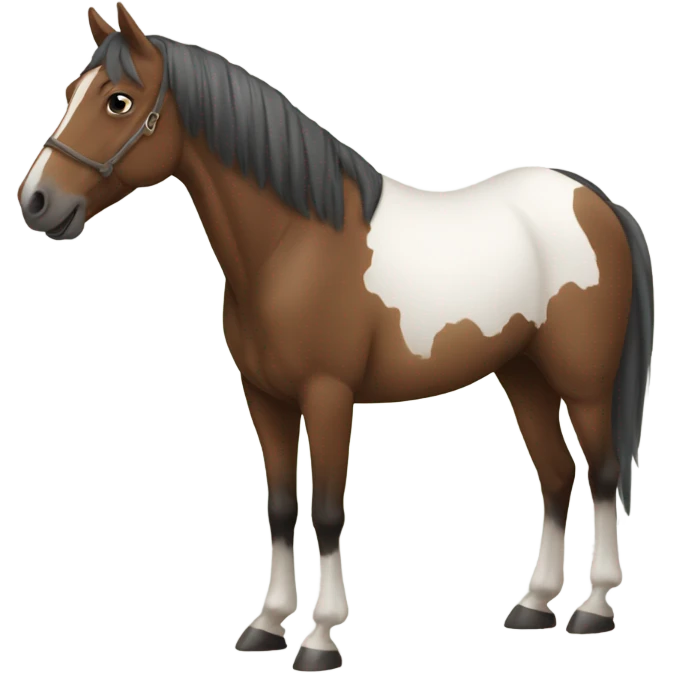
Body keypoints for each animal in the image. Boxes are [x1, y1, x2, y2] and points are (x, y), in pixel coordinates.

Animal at [17, 2, 655, 665]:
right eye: (71, 91)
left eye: (117, 101)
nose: (35, 200)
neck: (291, 245)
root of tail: (592, 199)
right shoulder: (265, 399)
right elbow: (278, 507)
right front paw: (267, 625)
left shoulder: (327, 396)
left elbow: (324, 510)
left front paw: (320, 638)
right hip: (524, 375)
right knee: (556, 476)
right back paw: (534, 606)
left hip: (584, 385)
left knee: (603, 474)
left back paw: (594, 608)